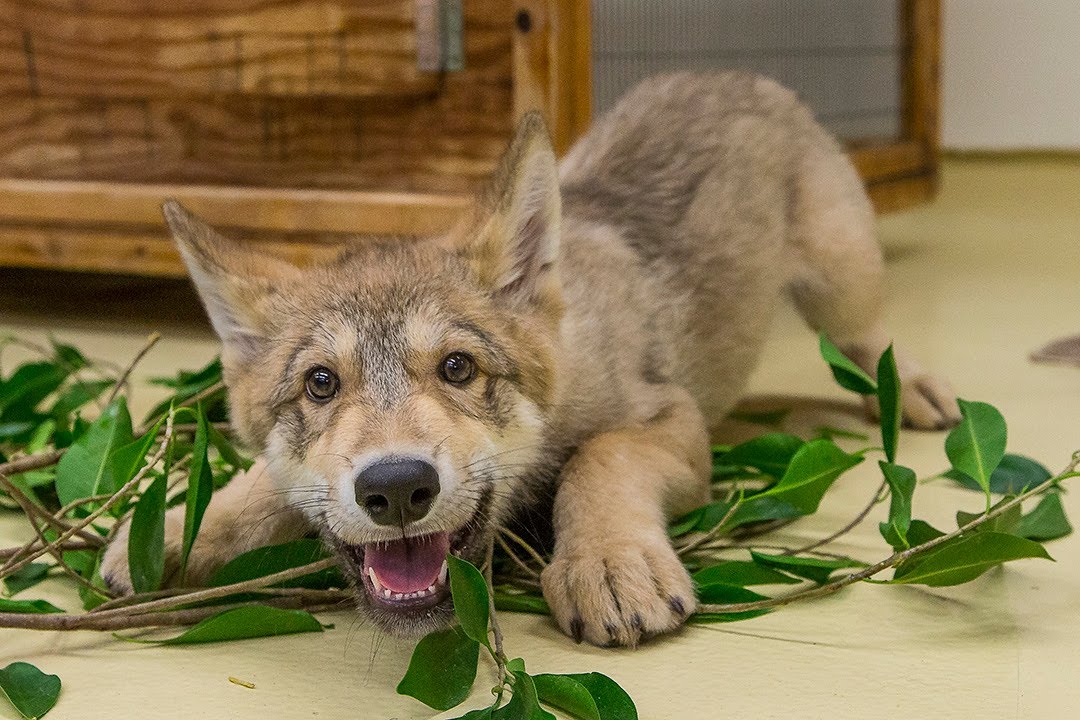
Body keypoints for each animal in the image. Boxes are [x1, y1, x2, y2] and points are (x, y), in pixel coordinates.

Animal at [102, 72, 960, 647]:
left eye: (458, 369)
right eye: (320, 384)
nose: (398, 488)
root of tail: (735, 74)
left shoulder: (669, 418)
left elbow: (599, 460)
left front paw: (609, 559)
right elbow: (260, 489)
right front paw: (174, 528)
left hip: (842, 280)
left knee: (873, 338)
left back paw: (914, 389)